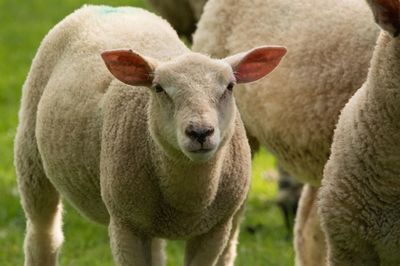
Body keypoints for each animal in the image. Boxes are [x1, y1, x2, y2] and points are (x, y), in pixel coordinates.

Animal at [14, 4, 286, 266]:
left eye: (229, 87)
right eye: (158, 88)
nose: (200, 132)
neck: (187, 201)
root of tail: (100, 7)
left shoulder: (214, 230)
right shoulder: (126, 225)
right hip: (30, 155)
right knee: (42, 235)